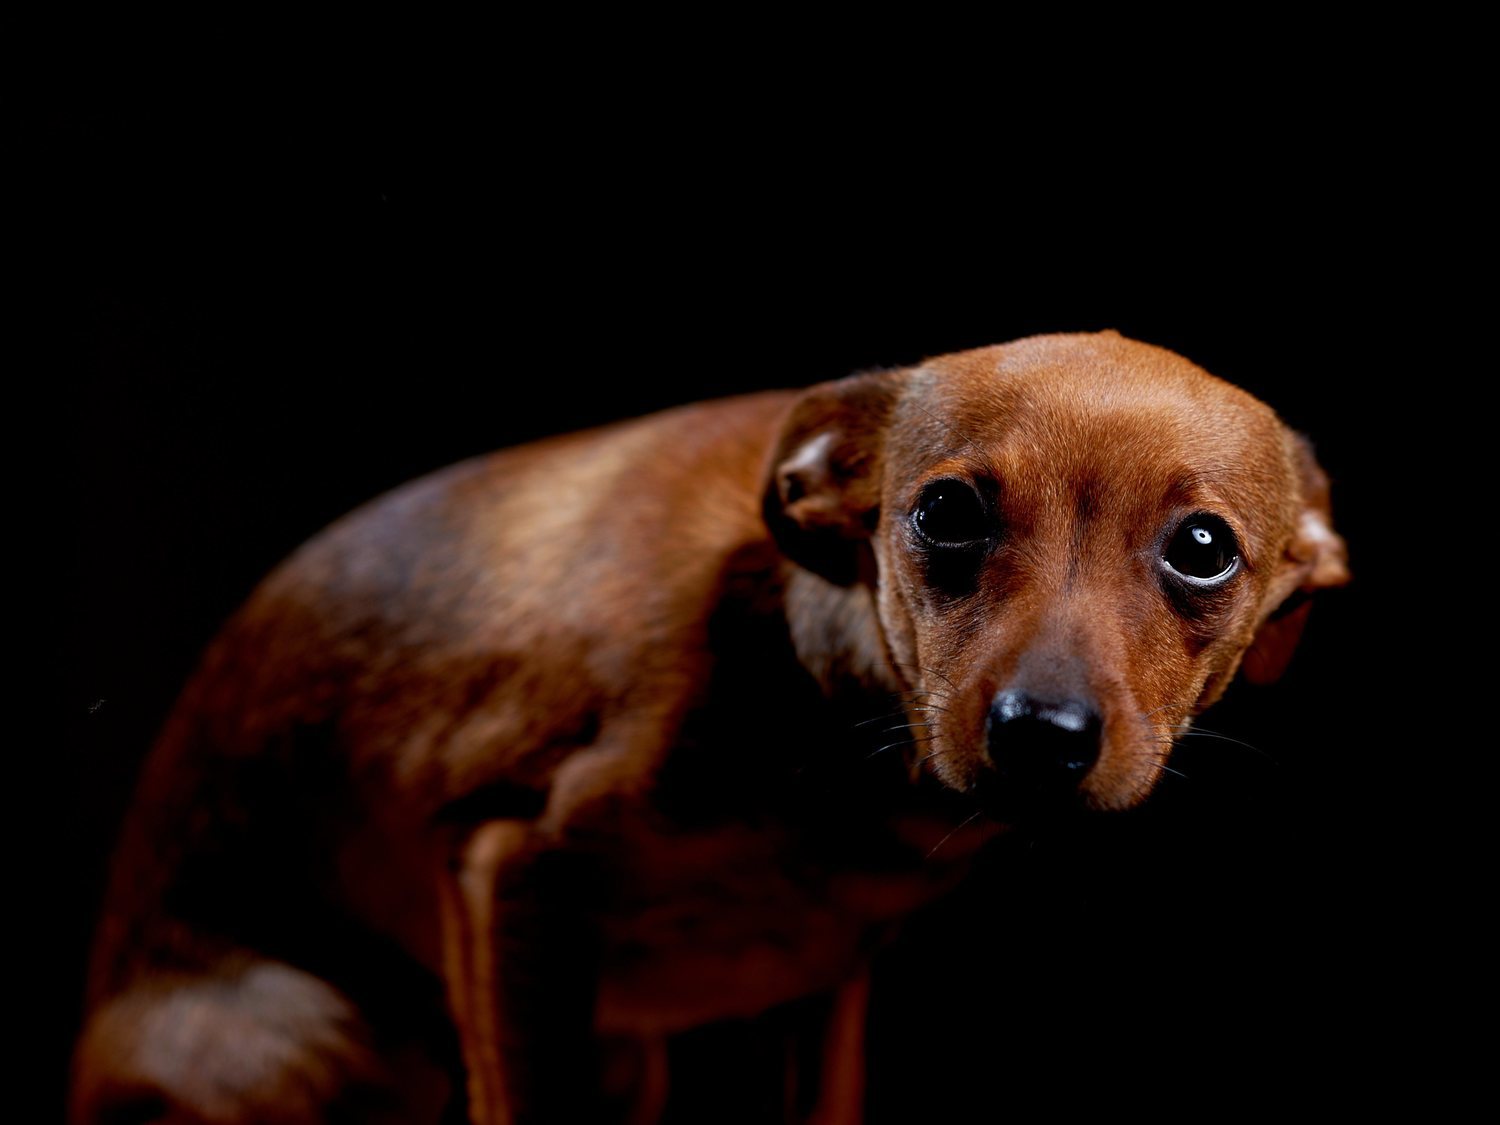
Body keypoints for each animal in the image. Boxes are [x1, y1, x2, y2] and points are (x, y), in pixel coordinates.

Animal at [67, 330, 1350, 1122]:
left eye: (1203, 550)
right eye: (945, 513)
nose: (1044, 732)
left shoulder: (820, 995)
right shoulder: (509, 869)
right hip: (321, 1048)